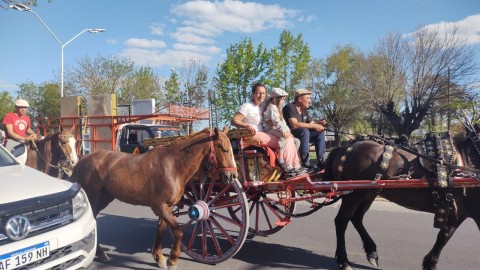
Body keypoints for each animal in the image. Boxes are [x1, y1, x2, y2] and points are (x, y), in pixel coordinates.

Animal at [70, 127, 238, 270]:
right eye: (224, 149)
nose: (232, 176)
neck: (173, 165)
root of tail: (81, 161)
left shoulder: (167, 207)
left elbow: (161, 229)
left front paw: (159, 258)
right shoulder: (160, 206)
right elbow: (178, 232)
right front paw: (172, 260)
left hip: (105, 198)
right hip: (93, 197)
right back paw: (99, 253)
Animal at [322, 126, 480, 270]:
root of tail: (346, 147)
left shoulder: (457, 211)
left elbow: (444, 236)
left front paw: (430, 263)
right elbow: (444, 237)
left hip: (368, 193)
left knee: (356, 218)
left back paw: (371, 251)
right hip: (354, 194)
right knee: (342, 221)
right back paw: (344, 261)